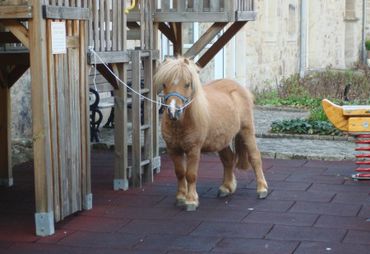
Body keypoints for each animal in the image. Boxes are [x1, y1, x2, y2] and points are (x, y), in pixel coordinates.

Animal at [154, 57, 268, 210]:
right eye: (164, 84)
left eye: (187, 84)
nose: (173, 112)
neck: (181, 123)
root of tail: (238, 87)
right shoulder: (173, 149)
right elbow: (179, 173)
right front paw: (181, 197)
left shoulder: (194, 150)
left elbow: (190, 174)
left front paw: (191, 201)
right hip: (221, 140)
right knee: (228, 159)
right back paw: (226, 188)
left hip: (247, 131)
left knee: (255, 157)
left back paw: (262, 189)